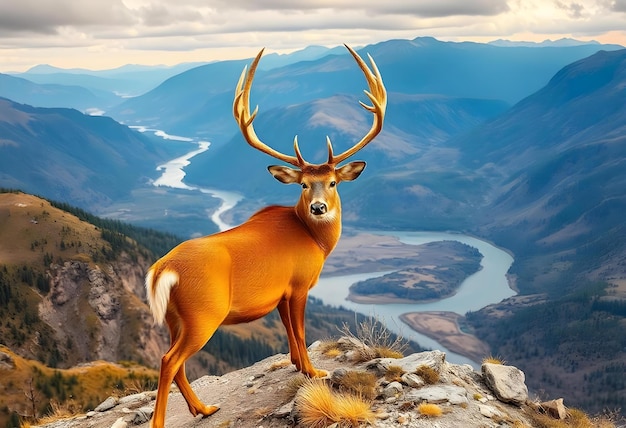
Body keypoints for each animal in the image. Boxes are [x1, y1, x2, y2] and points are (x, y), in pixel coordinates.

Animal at [144, 45, 386, 426]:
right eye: (304, 185)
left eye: (333, 182)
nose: (319, 207)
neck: (315, 241)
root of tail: (161, 270)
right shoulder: (299, 283)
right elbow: (300, 331)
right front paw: (314, 371)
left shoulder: (280, 294)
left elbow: (289, 333)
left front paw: (299, 366)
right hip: (203, 314)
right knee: (169, 360)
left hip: (173, 318)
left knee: (174, 360)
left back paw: (204, 408)